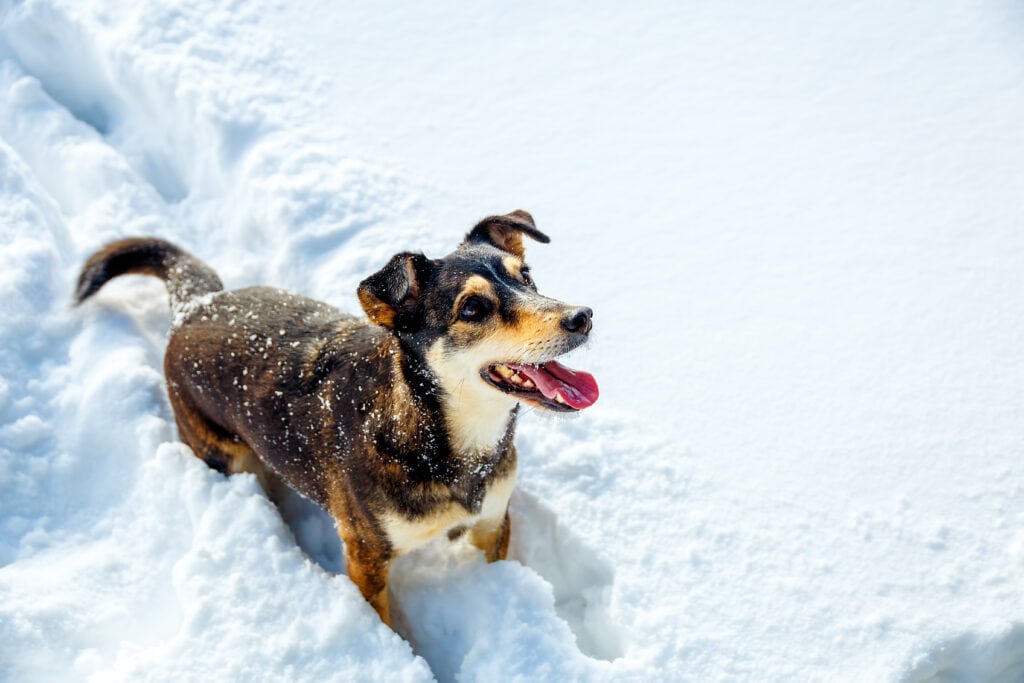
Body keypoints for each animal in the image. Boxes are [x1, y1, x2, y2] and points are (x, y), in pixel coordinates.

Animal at [72, 209, 598, 626]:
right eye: (472, 307)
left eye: (526, 276)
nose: (582, 316)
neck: (438, 437)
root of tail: (196, 306)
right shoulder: (367, 555)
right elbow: (386, 625)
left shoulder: (492, 522)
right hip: (219, 450)